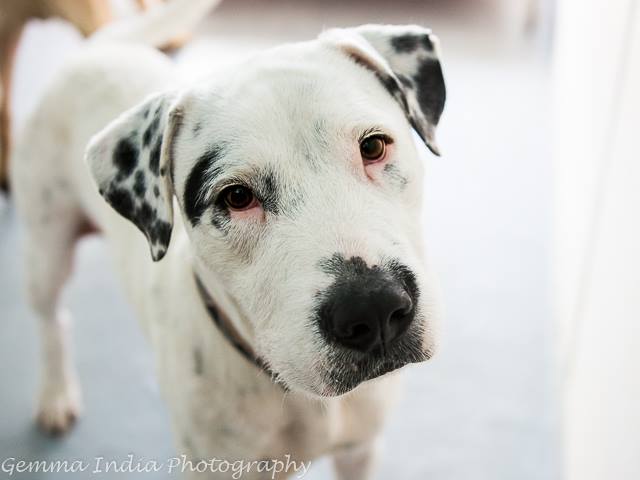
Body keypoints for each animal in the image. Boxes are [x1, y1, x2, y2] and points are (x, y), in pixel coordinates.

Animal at [10, 0, 446, 476]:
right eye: (236, 196)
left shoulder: (359, 451)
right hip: (44, 251)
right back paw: (55, 394)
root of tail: (100, 49)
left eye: (373, 147)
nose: (373, 307)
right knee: (52, 319)